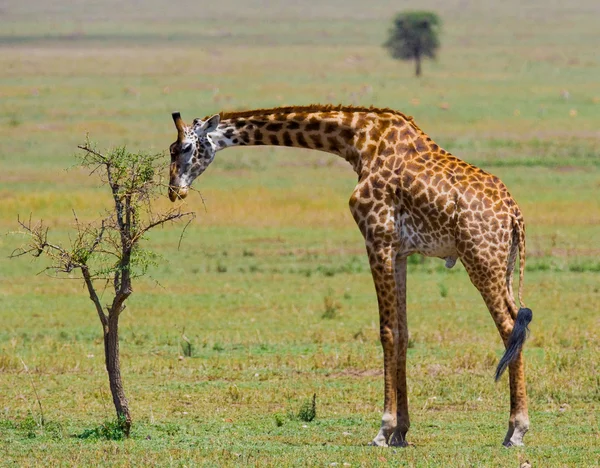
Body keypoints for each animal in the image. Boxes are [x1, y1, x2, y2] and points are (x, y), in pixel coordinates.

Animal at [166, 104, 532, 448]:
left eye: (183, 147)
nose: (174, 191)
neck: (358, 141)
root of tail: (515, 215)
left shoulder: (377, 239)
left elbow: (387, 332)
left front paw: (383, 430)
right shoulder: (400, 252)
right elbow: (403, 332)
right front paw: (401, 431)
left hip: (481, 261)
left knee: (509, 328)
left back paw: (516, 430)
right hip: (504, 266)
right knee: (518, 323)